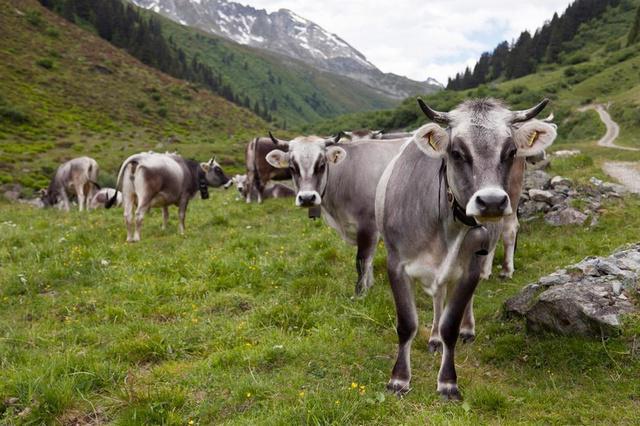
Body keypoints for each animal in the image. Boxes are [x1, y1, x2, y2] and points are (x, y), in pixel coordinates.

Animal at [264, 131, 404, 294]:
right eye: (292, 167)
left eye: (322, 165)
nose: (307, 198)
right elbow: (368, 262)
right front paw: (369, 286)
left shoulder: (368, 225)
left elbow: (362, 260)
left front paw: (360, 293)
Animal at [376, 96, 556, 400]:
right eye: (457, 152)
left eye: (510, 151)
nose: (492, 202)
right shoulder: (396, 264)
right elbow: (407, 324)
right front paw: (399, 379)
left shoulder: (469, 268)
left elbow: (451, 324)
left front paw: (448, 382)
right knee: (438, 296)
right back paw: (433, 338)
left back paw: (467, 328)